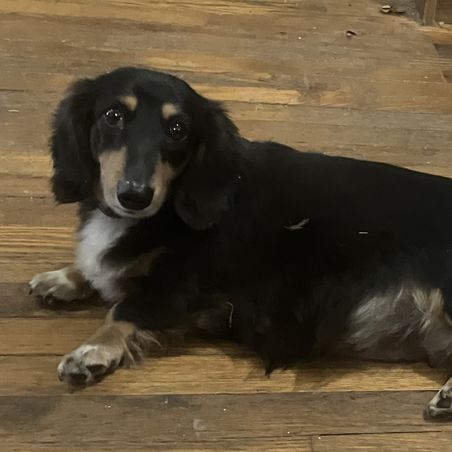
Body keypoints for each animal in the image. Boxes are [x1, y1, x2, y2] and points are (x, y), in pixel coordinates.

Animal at [29, 66, 452, 419]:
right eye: (113, 116)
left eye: (178, 129)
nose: (135, 196)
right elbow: (92, 266)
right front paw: (63, 278)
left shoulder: (178, 288)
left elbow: (122, 311)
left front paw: (91, 352)